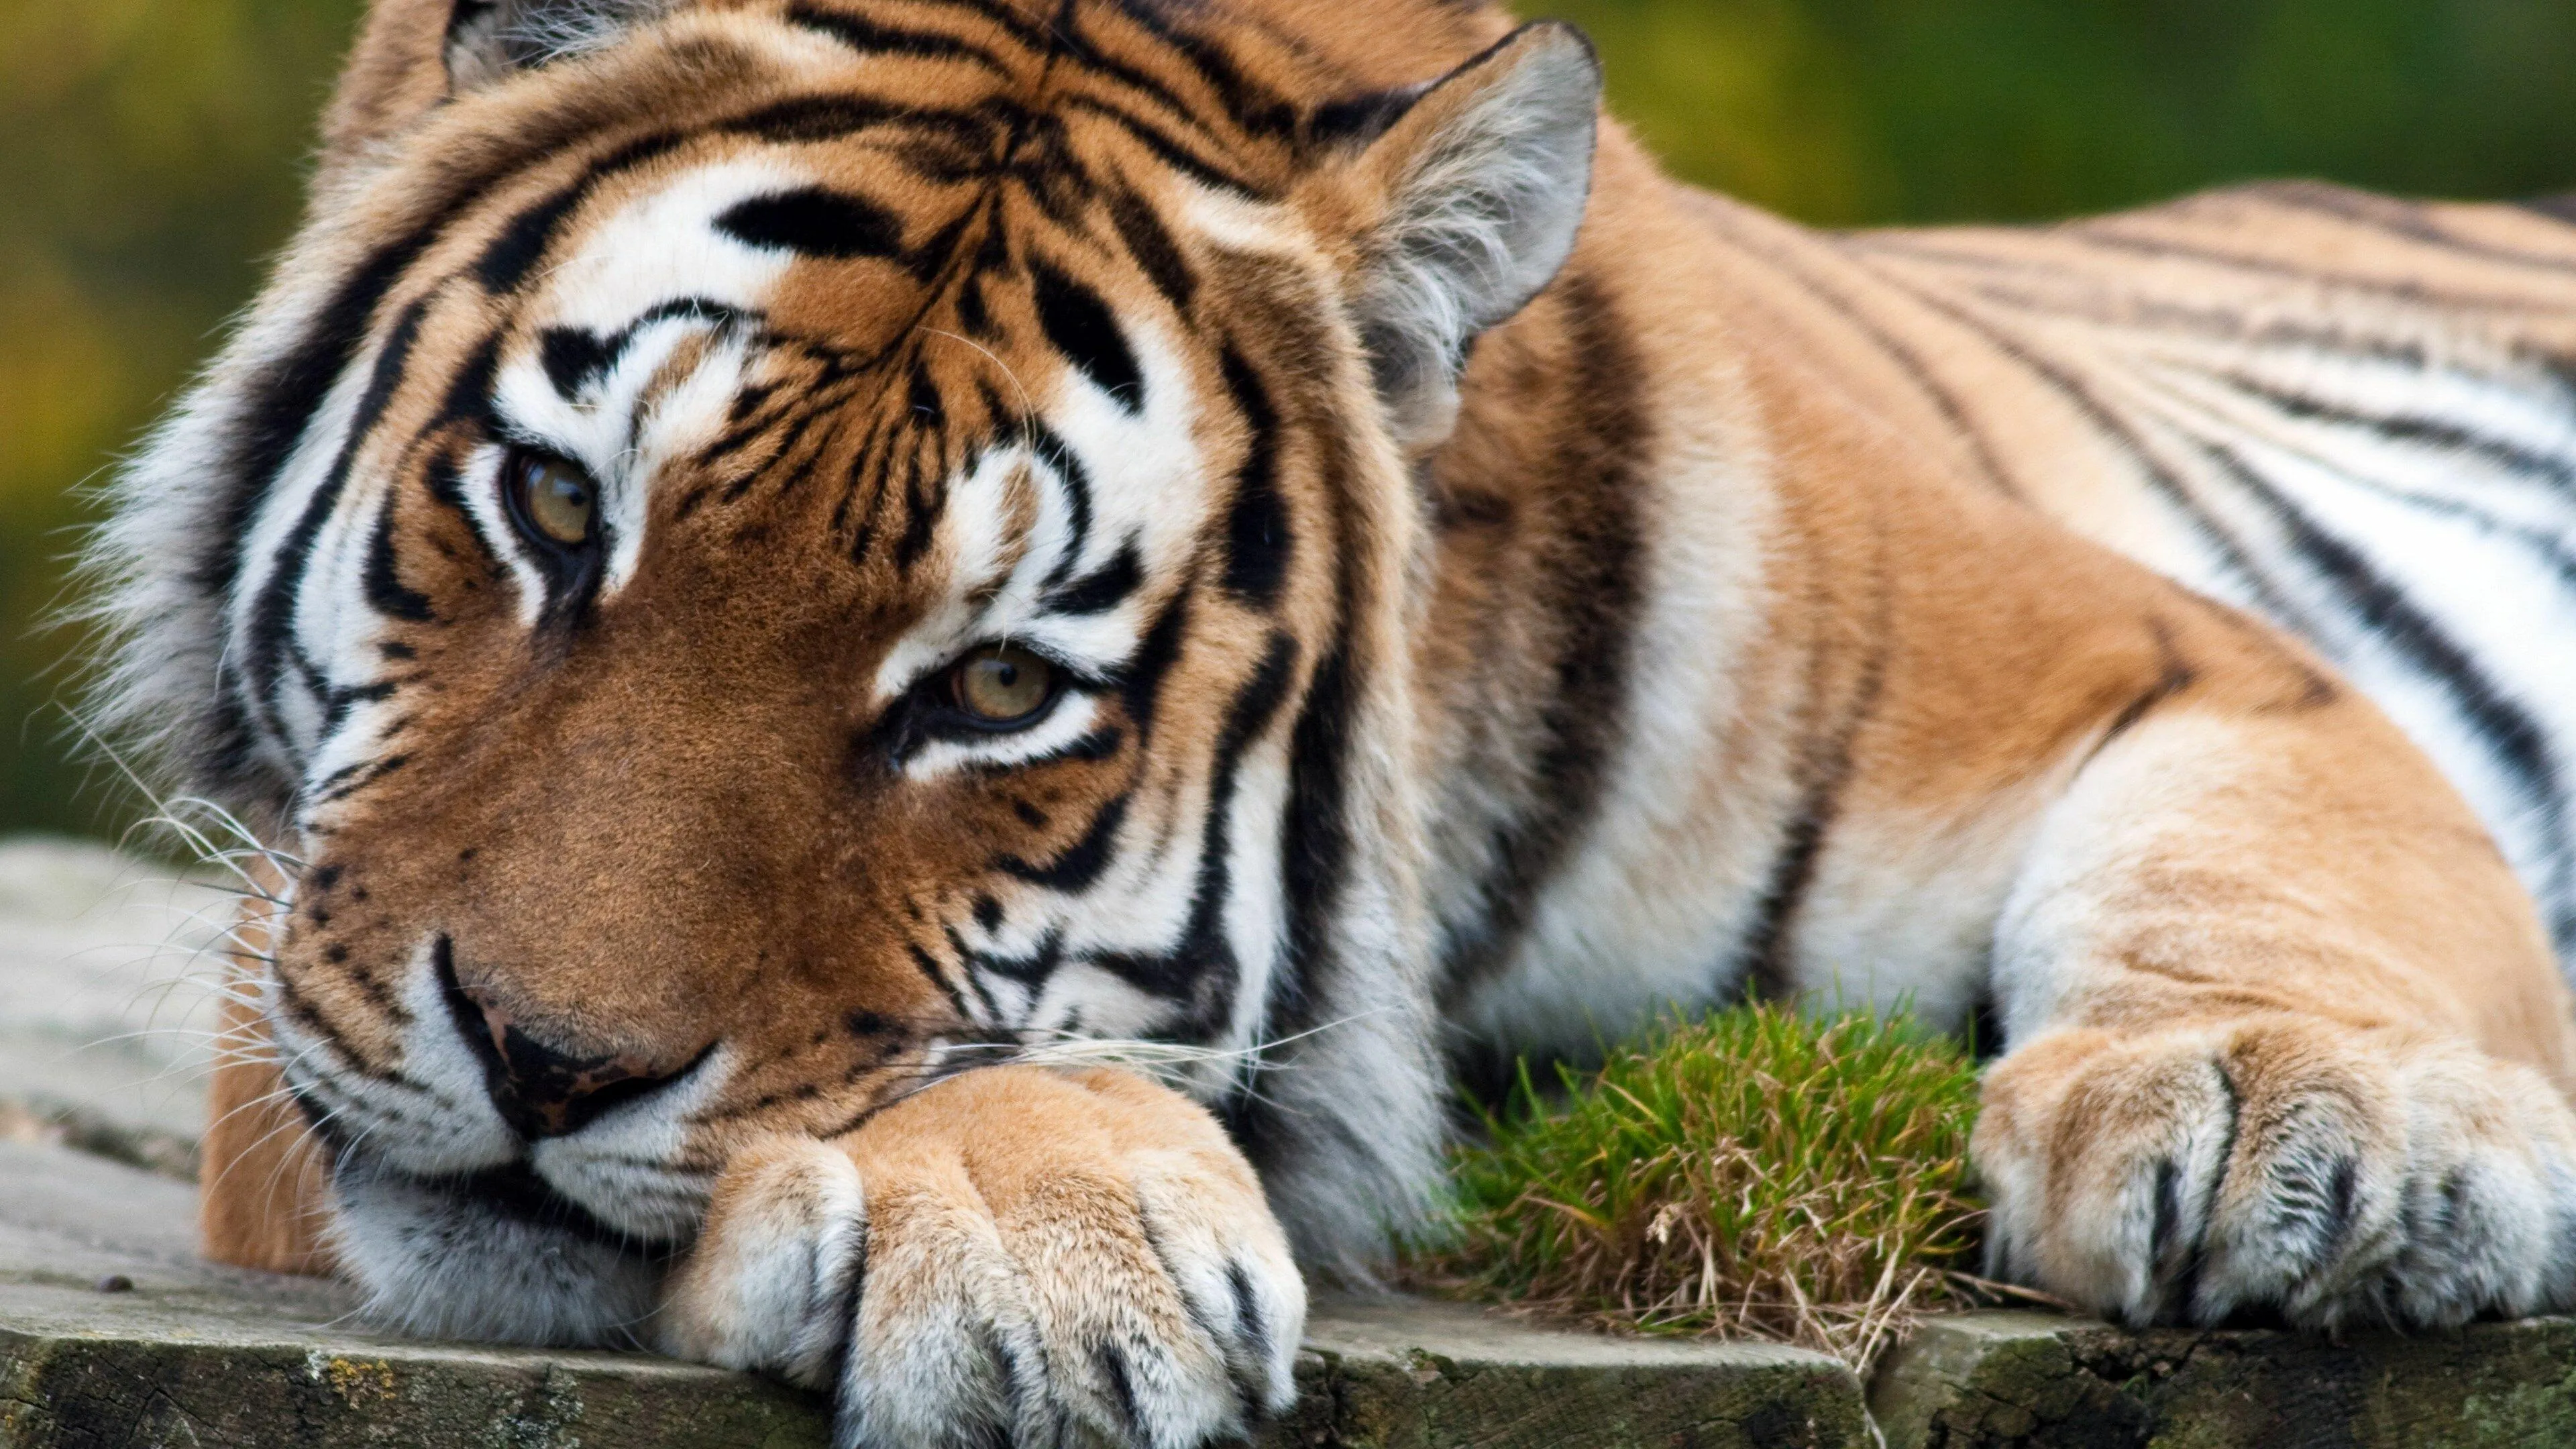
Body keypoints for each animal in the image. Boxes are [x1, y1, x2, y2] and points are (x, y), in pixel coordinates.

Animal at [87, 0, 2576, 1442]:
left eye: (998, 688)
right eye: (550, 508)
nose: (542, 1066)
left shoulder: (2167, 657)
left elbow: (2262, 870)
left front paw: (2298, 1124)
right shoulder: (286, 965)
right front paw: (1038, 1236)